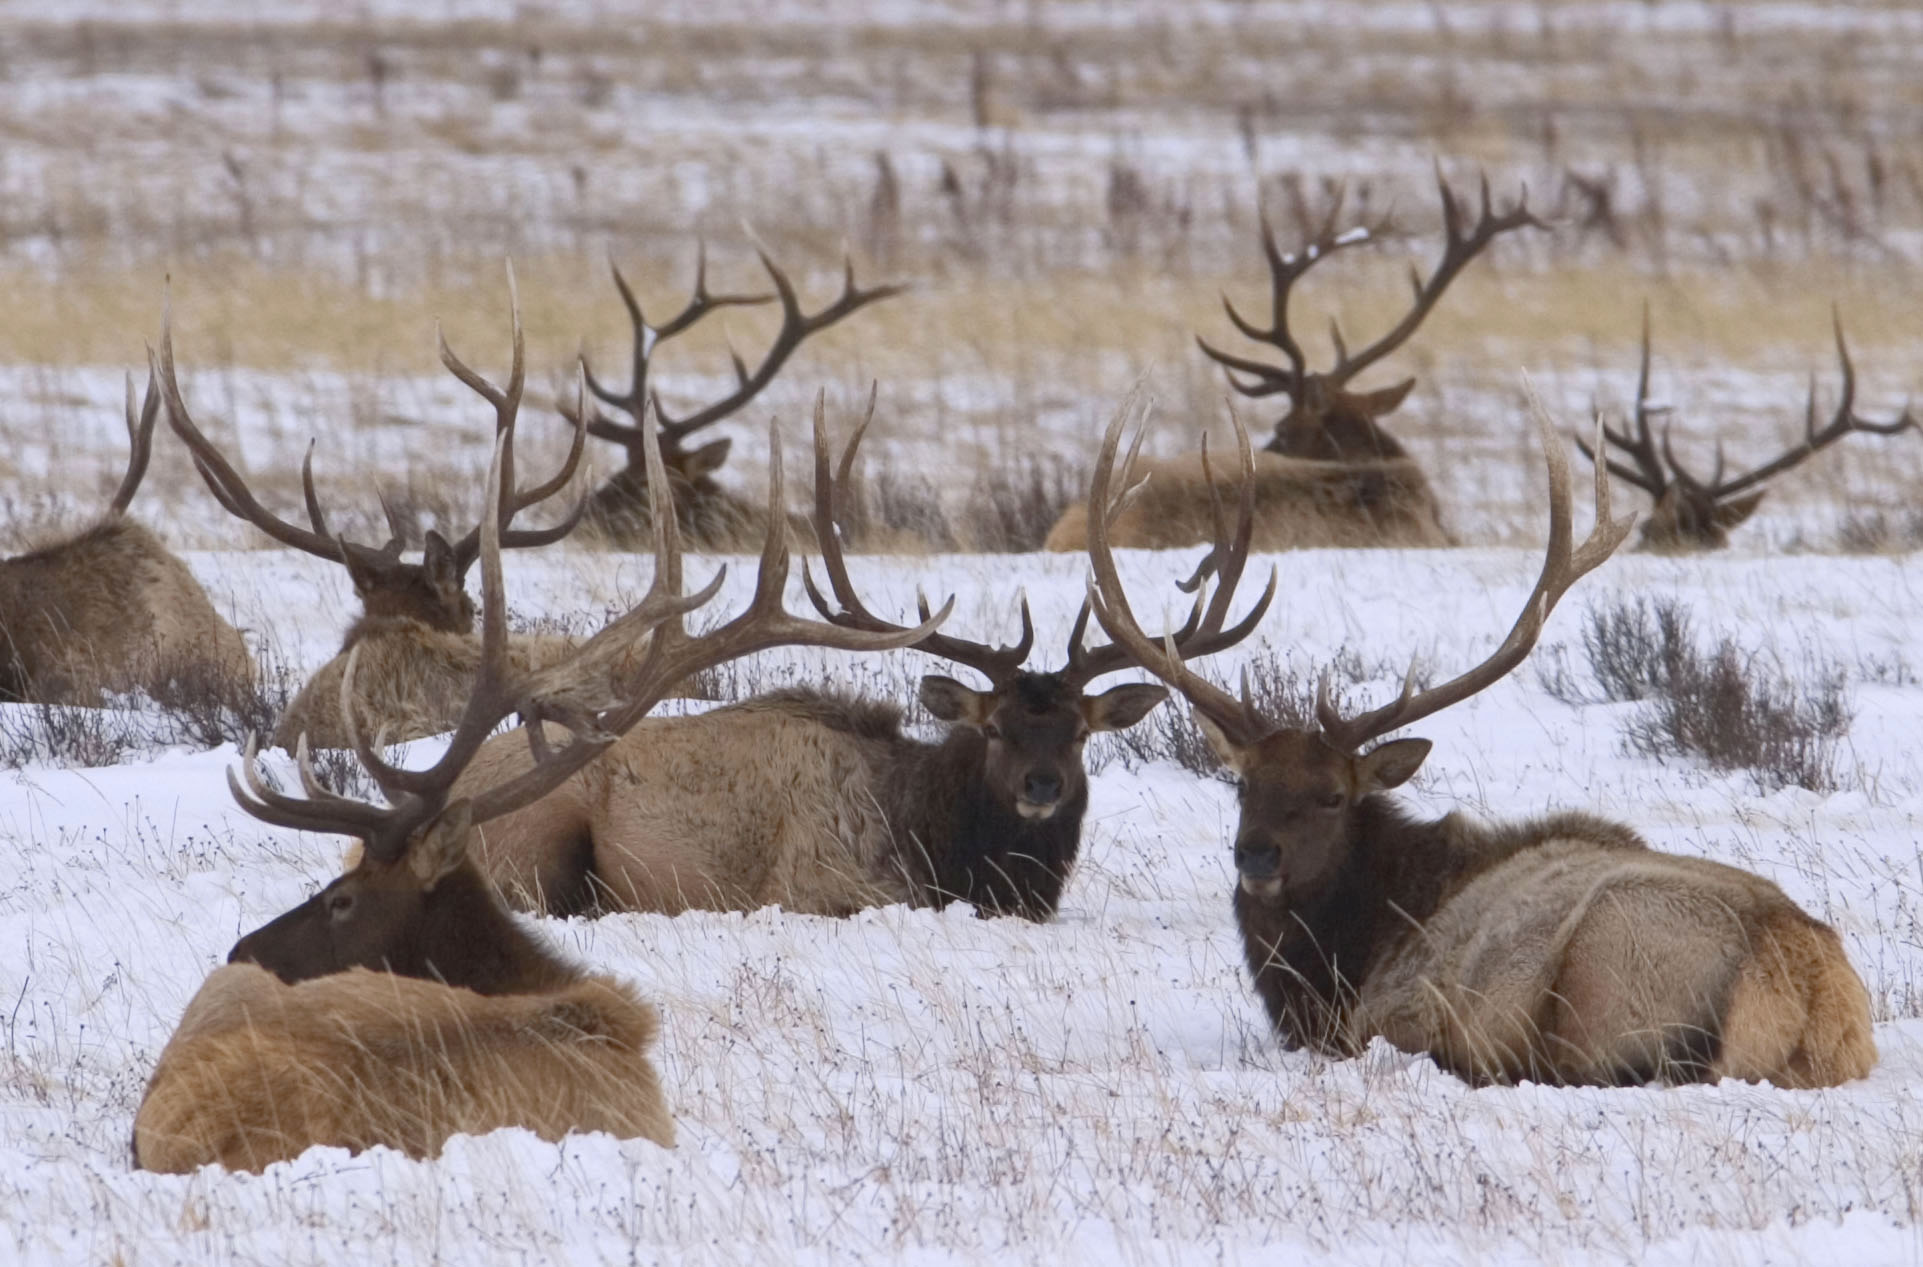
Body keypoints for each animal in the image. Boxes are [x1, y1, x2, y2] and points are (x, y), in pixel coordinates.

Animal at [455, 392, 1270, 922]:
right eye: (994, 728)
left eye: (1078, 732)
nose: (1041, 784)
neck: (940, 848)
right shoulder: (821, 886)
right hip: (544, 834)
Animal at [1086, 392, 1876, 1088]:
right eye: (1242, 782)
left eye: (1333, 795)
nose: (1256, 854)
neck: (1352, 956)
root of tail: (1808, 991)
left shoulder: (1384, 1013)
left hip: (1606, 974)